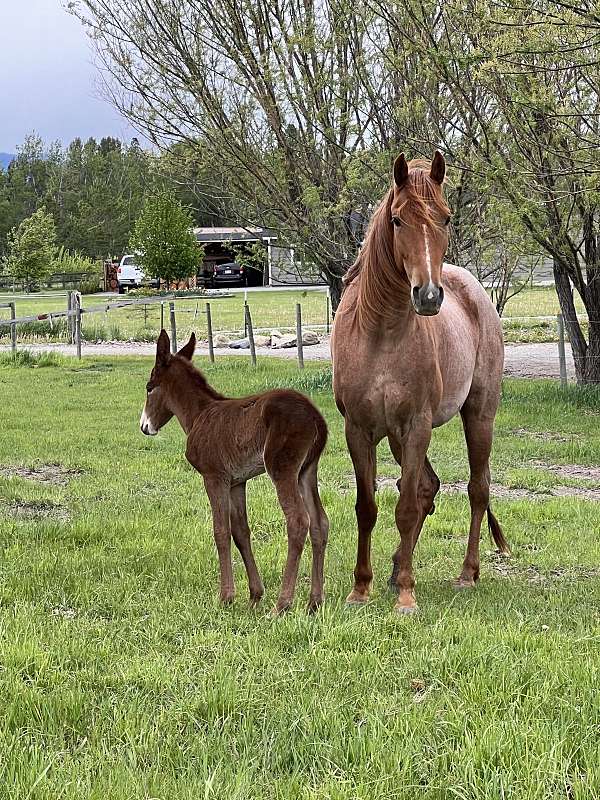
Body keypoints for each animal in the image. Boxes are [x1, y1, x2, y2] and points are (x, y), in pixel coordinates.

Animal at [140, 330, 328, 612]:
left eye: (149, 388)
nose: (144, 426)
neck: (199, 414)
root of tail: (315, 416)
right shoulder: (237, 482)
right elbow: (241, 532)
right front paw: (254, 595)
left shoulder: (214, 477)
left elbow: (220, 531)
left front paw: (226, 596)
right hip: (307, 470)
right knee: (319, 522)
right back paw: (314, 602)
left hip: (282, 469)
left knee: (297, 521)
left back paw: (282, 604)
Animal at [330, 150, 508, 612]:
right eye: (397, 220)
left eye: (445, 218)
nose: (428, 296)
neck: (380, 333)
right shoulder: (360, 430)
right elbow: (367, 507)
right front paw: (362, 588)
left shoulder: (416, 426)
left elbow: (406, 508)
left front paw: (406, 597)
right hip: (397, 437)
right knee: (429, 487)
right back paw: (395, 568)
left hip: (478, 415)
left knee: (477, 489)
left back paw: (466, 573)